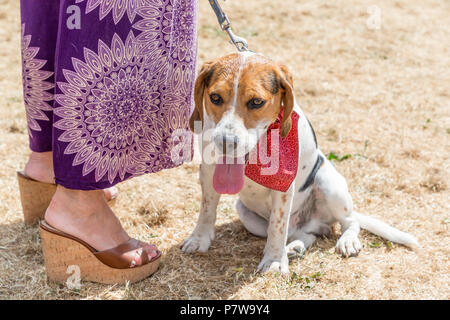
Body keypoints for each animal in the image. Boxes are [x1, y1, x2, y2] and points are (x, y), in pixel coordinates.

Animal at [179, 52, 418, 272]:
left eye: (256, 102)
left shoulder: (284, 186)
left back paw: (346, 241)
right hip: (247, 214)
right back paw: (295, 247)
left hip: (330, 185)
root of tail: (314, 221)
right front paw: (199, 239)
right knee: (305, 234)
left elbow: (277, 227)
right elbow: (207, 210)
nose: (226, 142)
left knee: (349, 222)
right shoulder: (208, 171)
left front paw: (274, 261)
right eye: (215, 97)